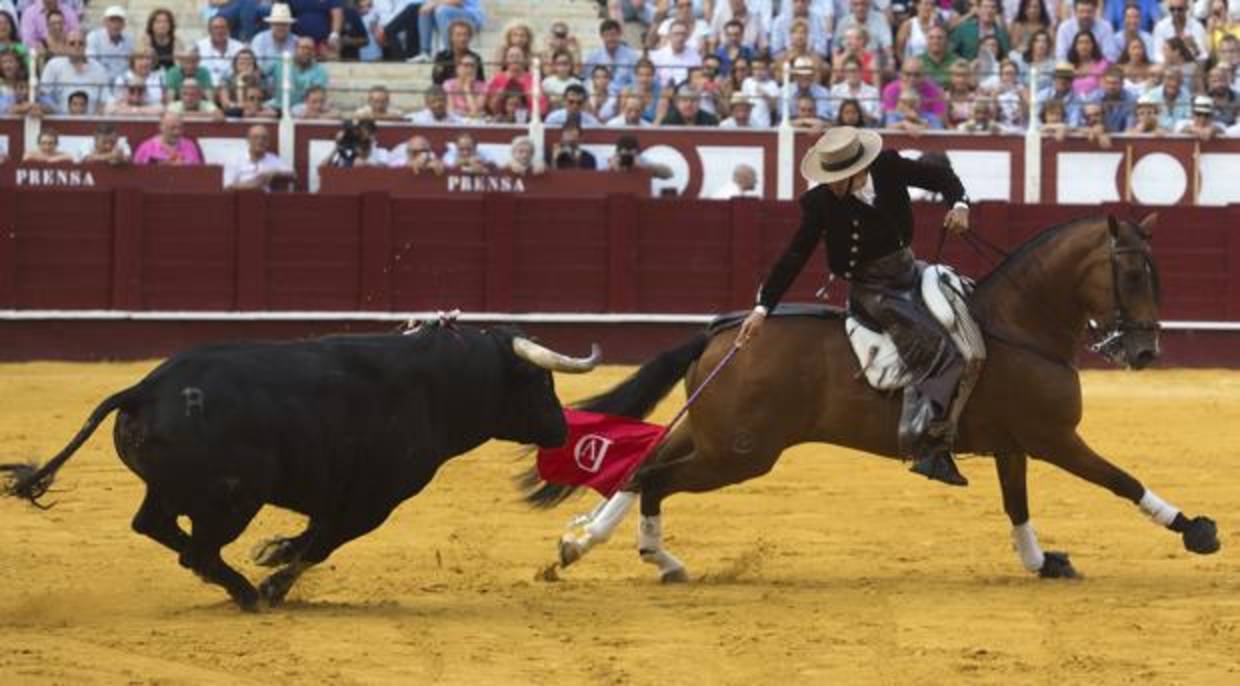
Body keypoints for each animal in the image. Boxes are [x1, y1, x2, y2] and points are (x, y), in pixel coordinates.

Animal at [0, 322, 600, 607]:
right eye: (541, 381)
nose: (561, 428)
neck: (437, 383)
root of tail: (147, 387)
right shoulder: (372, 500)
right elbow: (320, 544)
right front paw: (273, 573)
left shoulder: (343, 496)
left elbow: (314, 539)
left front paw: (273, 557)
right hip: (233, 498)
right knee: (198, 550)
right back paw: (248, 595)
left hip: (177, 490)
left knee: (155, 526)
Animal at [525, 210, 1220, 580]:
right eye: (1132, 273)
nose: (1145, 352)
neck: (1019, 324)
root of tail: (726, 332)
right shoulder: (1055, 438)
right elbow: (1121, 480)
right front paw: (1196, 529)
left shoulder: (1013, 444)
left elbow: (1016, 504)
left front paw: (1040, 561)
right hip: (741, 454)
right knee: (654, 477)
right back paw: (648, 555)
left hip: (713, 434)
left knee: (642, 466)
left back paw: (585, 543)